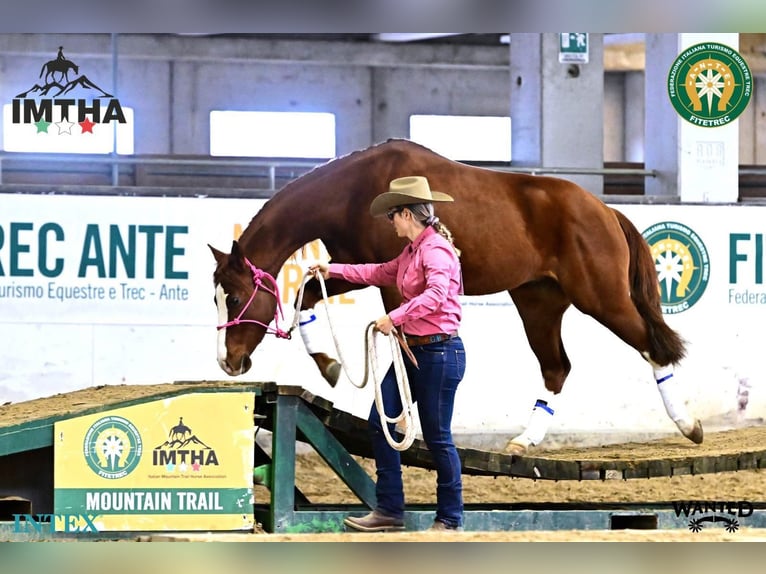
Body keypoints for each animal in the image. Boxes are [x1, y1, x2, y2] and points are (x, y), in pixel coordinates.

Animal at [210, 138, 704, 454]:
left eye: (232, 298)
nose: (228, 362)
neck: (353, 193)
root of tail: (603, 210)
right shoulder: (361, 268)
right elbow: (309, 295)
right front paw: (329, 365)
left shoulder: (391, 281)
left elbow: (398, 340)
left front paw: (399, 419)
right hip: (538, 302)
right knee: (557, 368)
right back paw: (525, 440)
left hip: (603, 298)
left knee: (652, 347)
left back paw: (689, 424)